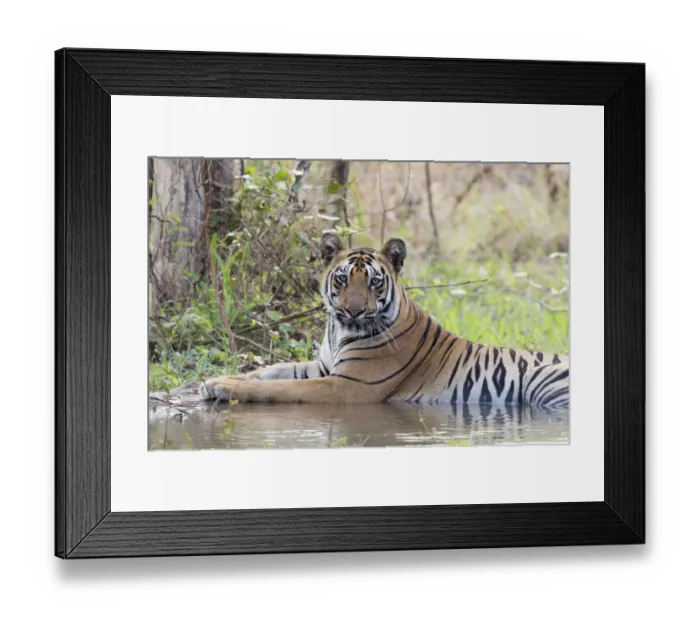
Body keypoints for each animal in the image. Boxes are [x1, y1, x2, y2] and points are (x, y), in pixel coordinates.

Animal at [199, 233, 570, 407]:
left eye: (374, 282)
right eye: (342, 279)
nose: (353, 311)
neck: (338, 331)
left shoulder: (346, 385)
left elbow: (280, 387)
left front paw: (226, 388)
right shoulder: (323, 366)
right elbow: (270, 371)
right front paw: (214, 380)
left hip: (541, 382)